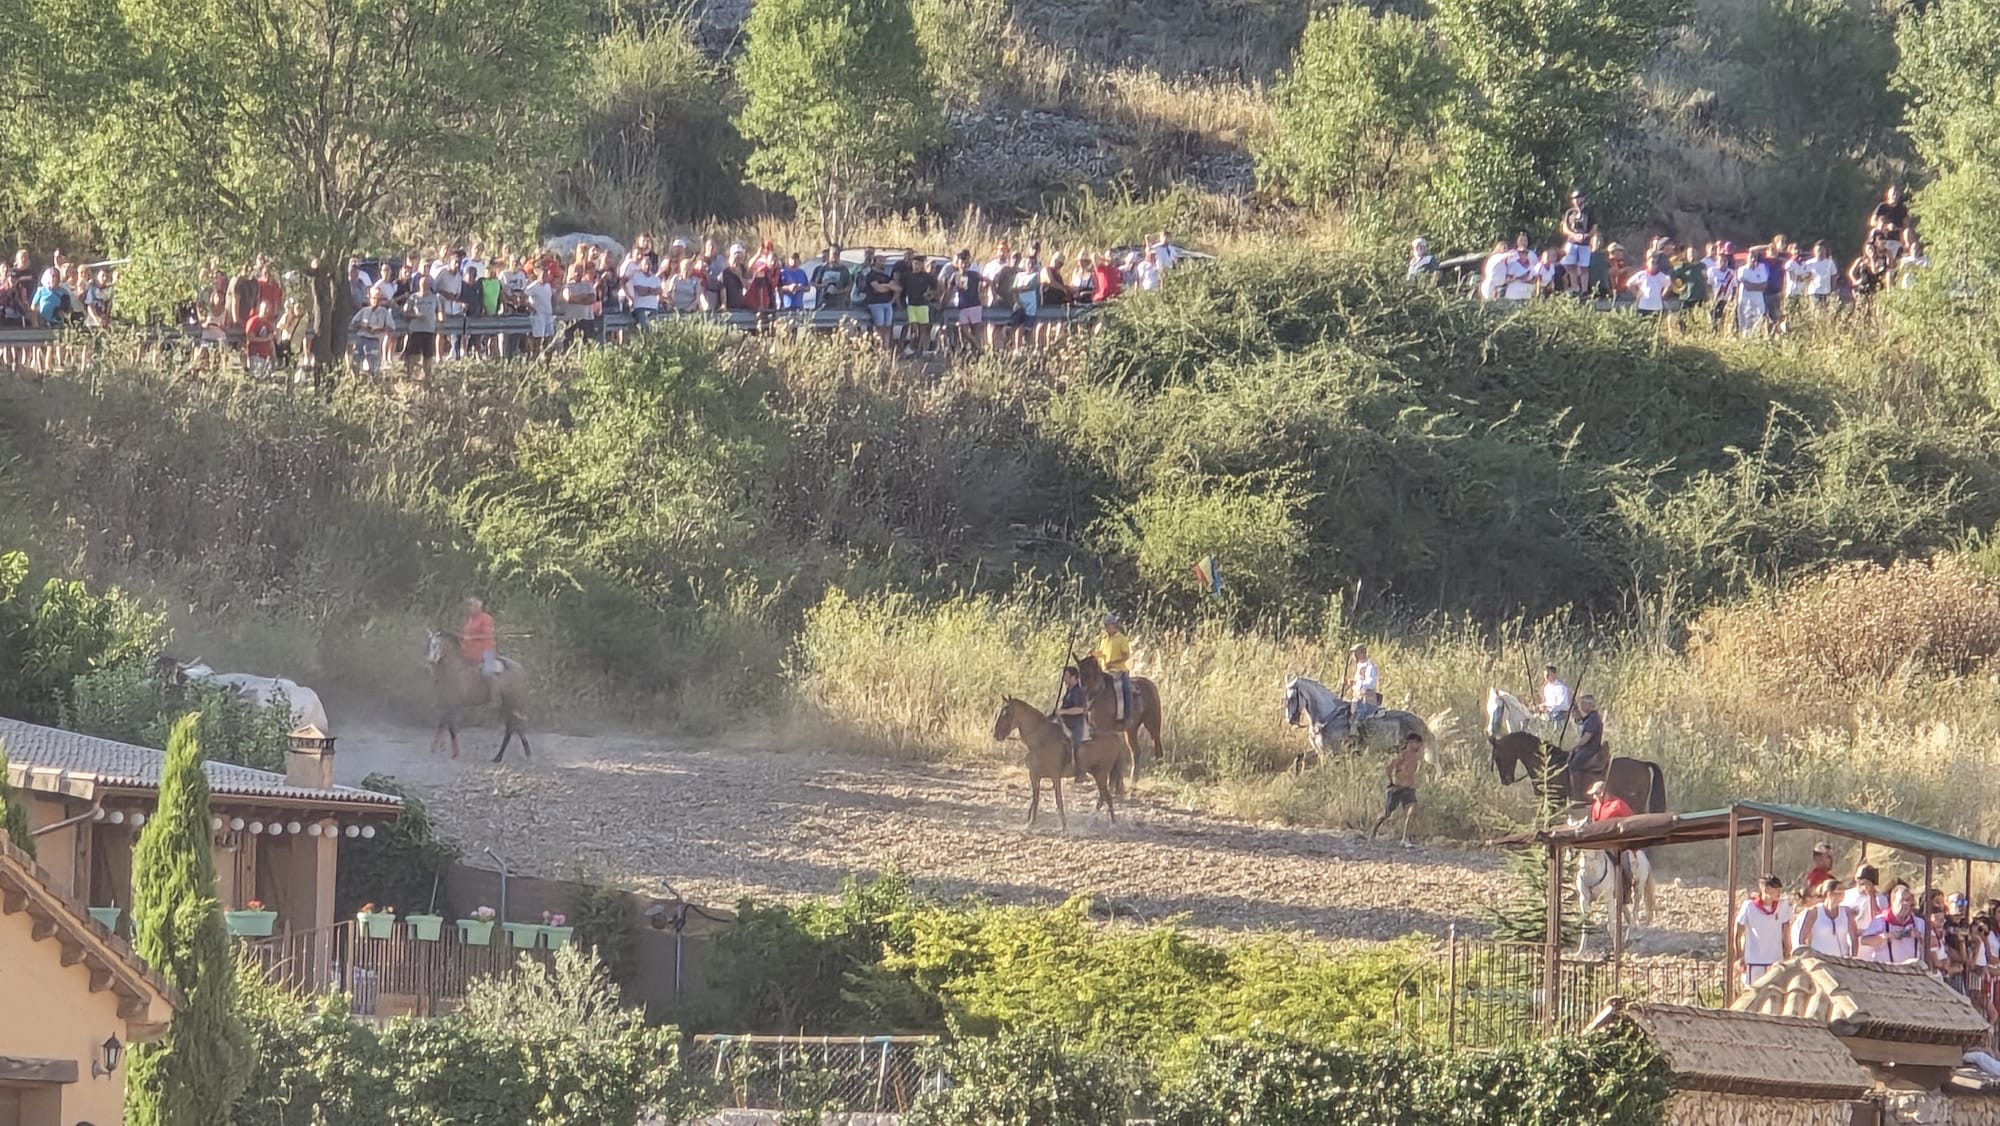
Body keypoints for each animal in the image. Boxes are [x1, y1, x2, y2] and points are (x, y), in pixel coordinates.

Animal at [424, 629, 532, 763]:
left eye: (436, 645)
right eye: (429, 645)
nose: (429, 662)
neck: (453, 668)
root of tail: (520, 669)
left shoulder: (451, 704)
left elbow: (450, 728)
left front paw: (454, 753)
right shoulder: (447, 704)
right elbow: (443, 725)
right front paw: (436, 748)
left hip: (510, 703)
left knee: (512, 727)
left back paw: (500, 756)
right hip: (509, 705)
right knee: (516, 726)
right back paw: (515, 754)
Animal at [991, 697, 1120, 830]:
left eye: (1006, 713)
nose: (996, 734)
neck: (1042, 739)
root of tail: (1115, 736)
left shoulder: (1055, 776)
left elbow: (1058, 800)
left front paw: (1063, 826)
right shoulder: (1034, 776)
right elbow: (1035, 798)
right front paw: (1031, 822)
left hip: (1101, 773)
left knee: (1106, 796)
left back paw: (1111, 824)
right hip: (1096, 773)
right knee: (1103, 796)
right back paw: (1091, 822)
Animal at [1072, 654, 1164, 795]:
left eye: (1090, 673)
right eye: (1079, 671)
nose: (1082, 690)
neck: (1100, 695)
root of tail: (1151, 685)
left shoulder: (1104, 730)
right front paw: (1115, 786)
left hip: (1153, 724)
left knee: (1157, 747)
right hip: (1130, 730)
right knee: (1135, 752)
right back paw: (1133, 782)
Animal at [1283, 676, 1434, 773]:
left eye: (1292, 697)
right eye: (1285, 698)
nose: (1291, 720)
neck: (1326, 717)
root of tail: (1421, 723)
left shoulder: (1333, 753)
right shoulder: (1319, 751)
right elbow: (1299, 758)